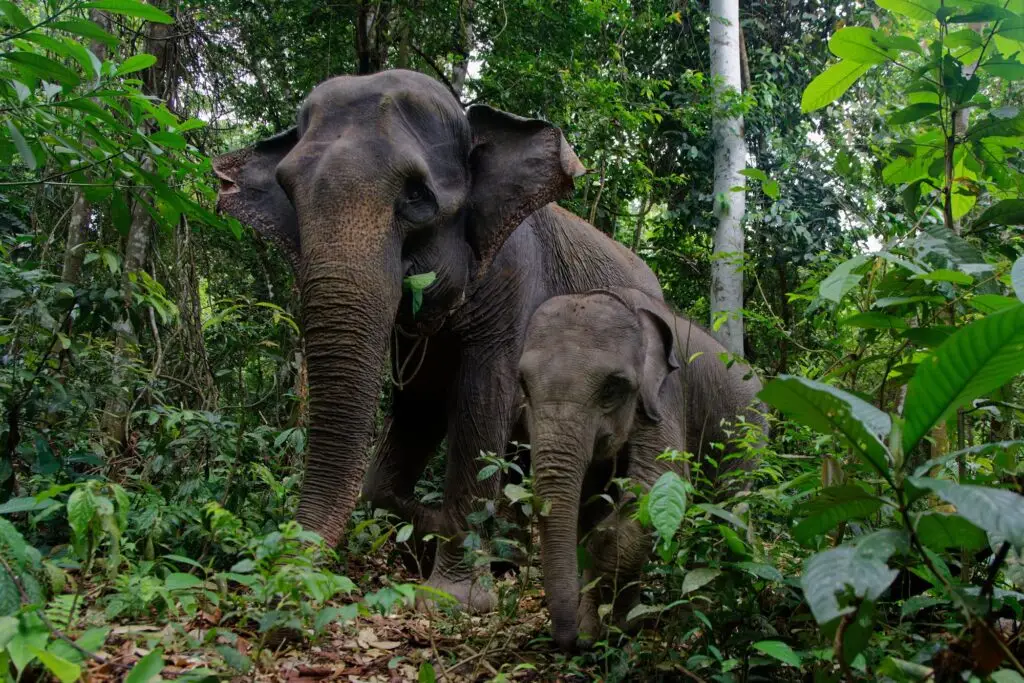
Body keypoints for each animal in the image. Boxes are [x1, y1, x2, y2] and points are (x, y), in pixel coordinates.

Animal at [212, 69, 664, 613]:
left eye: (417, 197)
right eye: (287, 192)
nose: (286, 581)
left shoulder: (514, 282)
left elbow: (481, 404)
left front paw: (456, 596)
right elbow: (415, 414)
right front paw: (427, 539)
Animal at [517, 287, 766, 651]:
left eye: (613, 387)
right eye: (523, 384)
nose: (566, 640)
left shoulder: (665, 395)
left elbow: (657, 484)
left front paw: (600, 631)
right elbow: (591, 503)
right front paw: (612, 626)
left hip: (750, 436)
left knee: (727, 507)